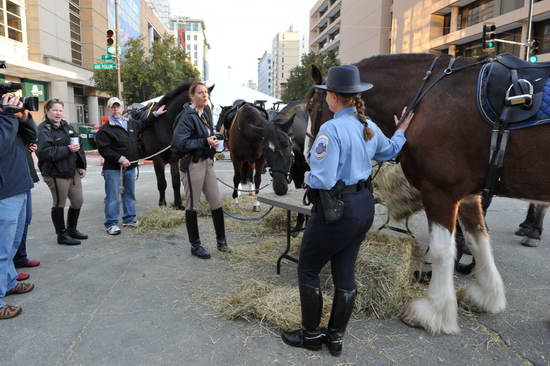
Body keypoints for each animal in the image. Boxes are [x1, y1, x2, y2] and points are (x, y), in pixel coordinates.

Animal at [137, 82, 215, 210]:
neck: (162, 125)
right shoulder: (157, 159)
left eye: (212, 106)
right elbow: (162, 183)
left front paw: (178, 204)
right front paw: (162, 205)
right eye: (203, 105)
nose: (211, 132)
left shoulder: (174, 160)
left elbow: (176, 182)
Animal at [310, 53, 550, 336]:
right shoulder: (469, 195)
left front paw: (434, 312)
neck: (429, 95)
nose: (309, 155)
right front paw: (487, 296)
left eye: (311, 107)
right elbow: (478, 241)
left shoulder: (440, 191)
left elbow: (441, 250)